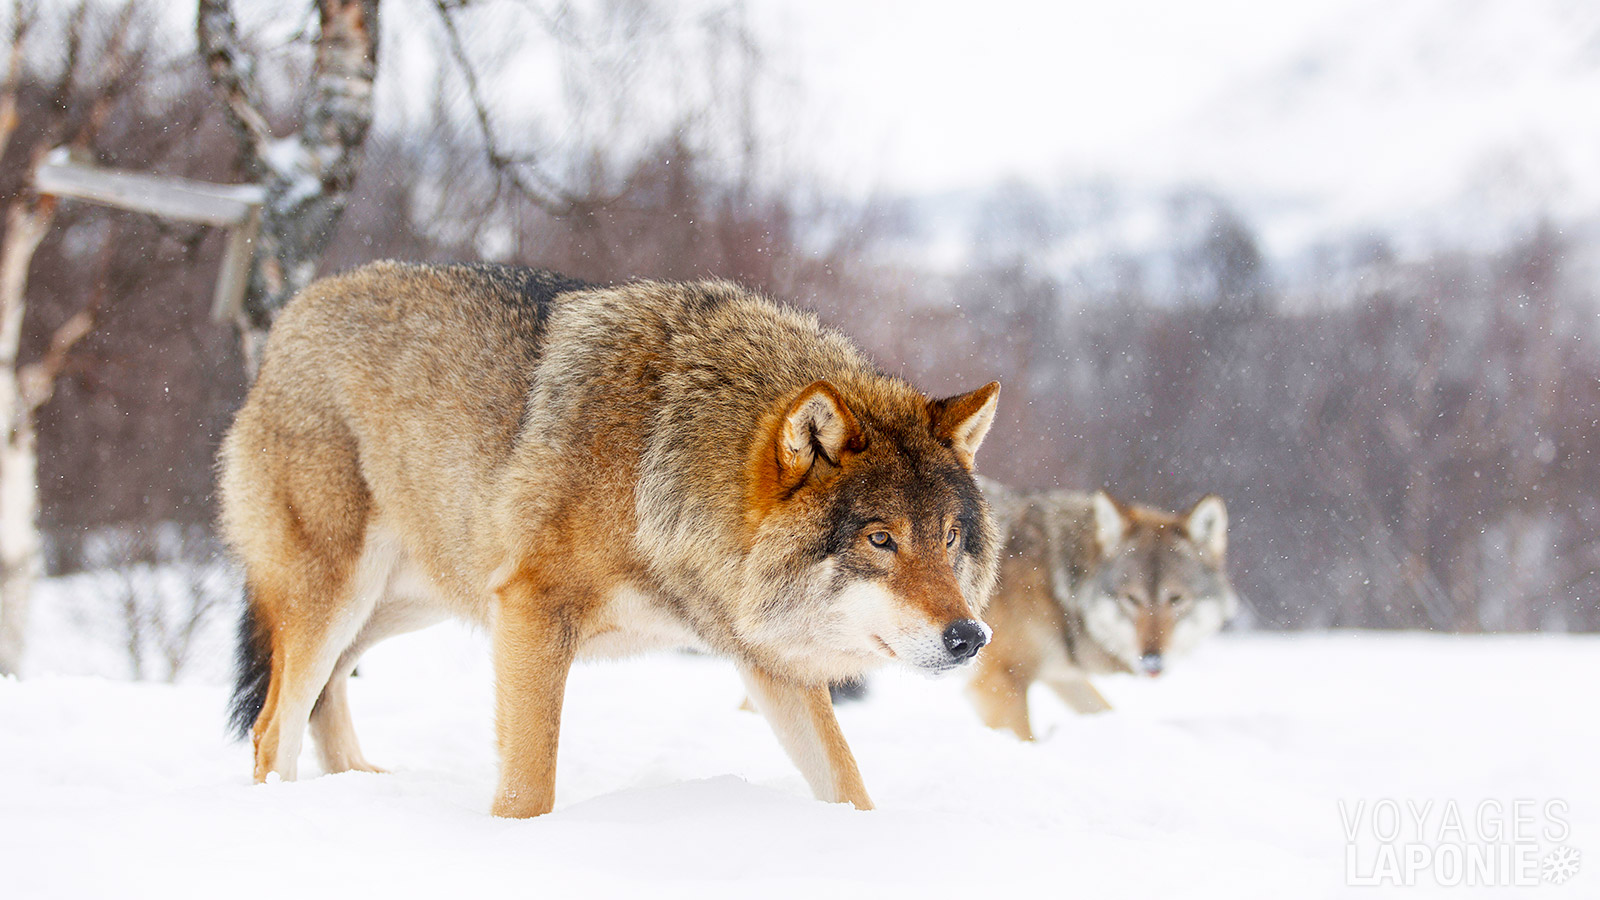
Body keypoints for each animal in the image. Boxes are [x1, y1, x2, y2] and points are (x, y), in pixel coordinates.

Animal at [219, 261, 1001, 817]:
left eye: (950, 537)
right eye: (880, 539)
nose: (970, 637)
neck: (659, 465)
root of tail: (292, 315)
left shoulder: (768, 661)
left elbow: (848, 781)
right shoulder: (534, 612)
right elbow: (528, 789)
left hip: (416, 603)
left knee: (320, 696)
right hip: (338, 597)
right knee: (272, 725)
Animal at [966, 477, 1236, 740]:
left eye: (1176, 598)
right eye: (1131, 599)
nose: (1152, 661)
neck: (1057, 585)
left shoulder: (1061, 675)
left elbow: (1102, 709)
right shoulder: (1000, 680)